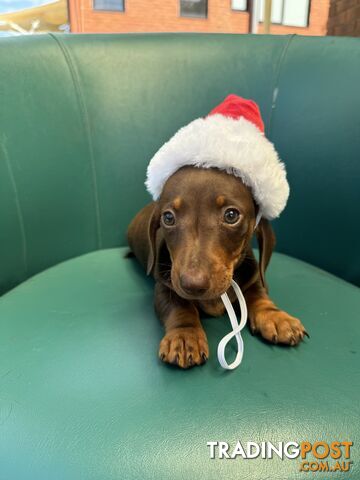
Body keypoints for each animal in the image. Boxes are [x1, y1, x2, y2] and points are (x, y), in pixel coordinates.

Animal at [126, 165, 306, 368]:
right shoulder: (165, 286)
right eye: (168, 217)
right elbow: (180, 307)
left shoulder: (253, 276)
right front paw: (185, 336)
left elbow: (258, 294)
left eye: (231, 215)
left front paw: (276, 317)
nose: (192, 285)